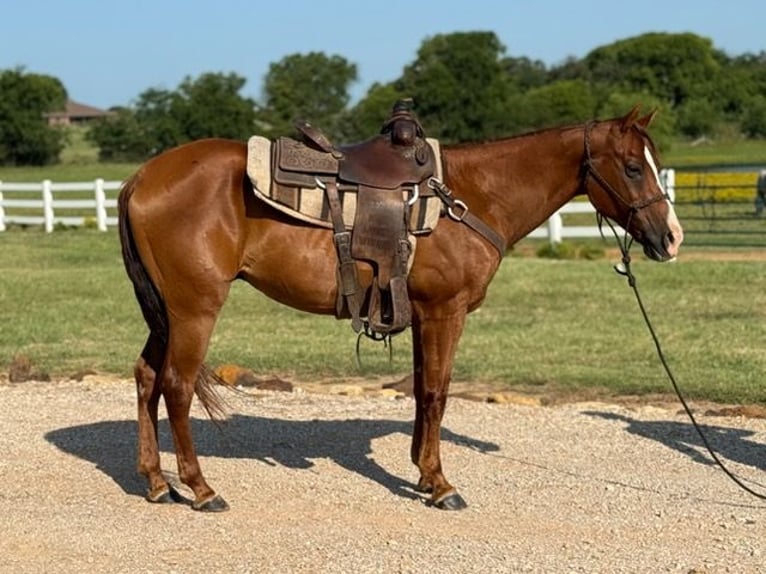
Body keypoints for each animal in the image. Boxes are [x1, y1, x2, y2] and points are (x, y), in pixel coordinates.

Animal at [118, 105, 683, 512]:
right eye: (634, 167)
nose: (672, 238)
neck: (471, 196)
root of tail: (140, 177)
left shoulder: (418, 314)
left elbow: (420, 391)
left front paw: (423, 472)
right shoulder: (444, 312)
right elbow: (436, 393)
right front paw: (441, 484)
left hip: (166, 312)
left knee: (146, 377)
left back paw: (156, 481)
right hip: (194, 309)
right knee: (177, 386)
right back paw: (201, 489)